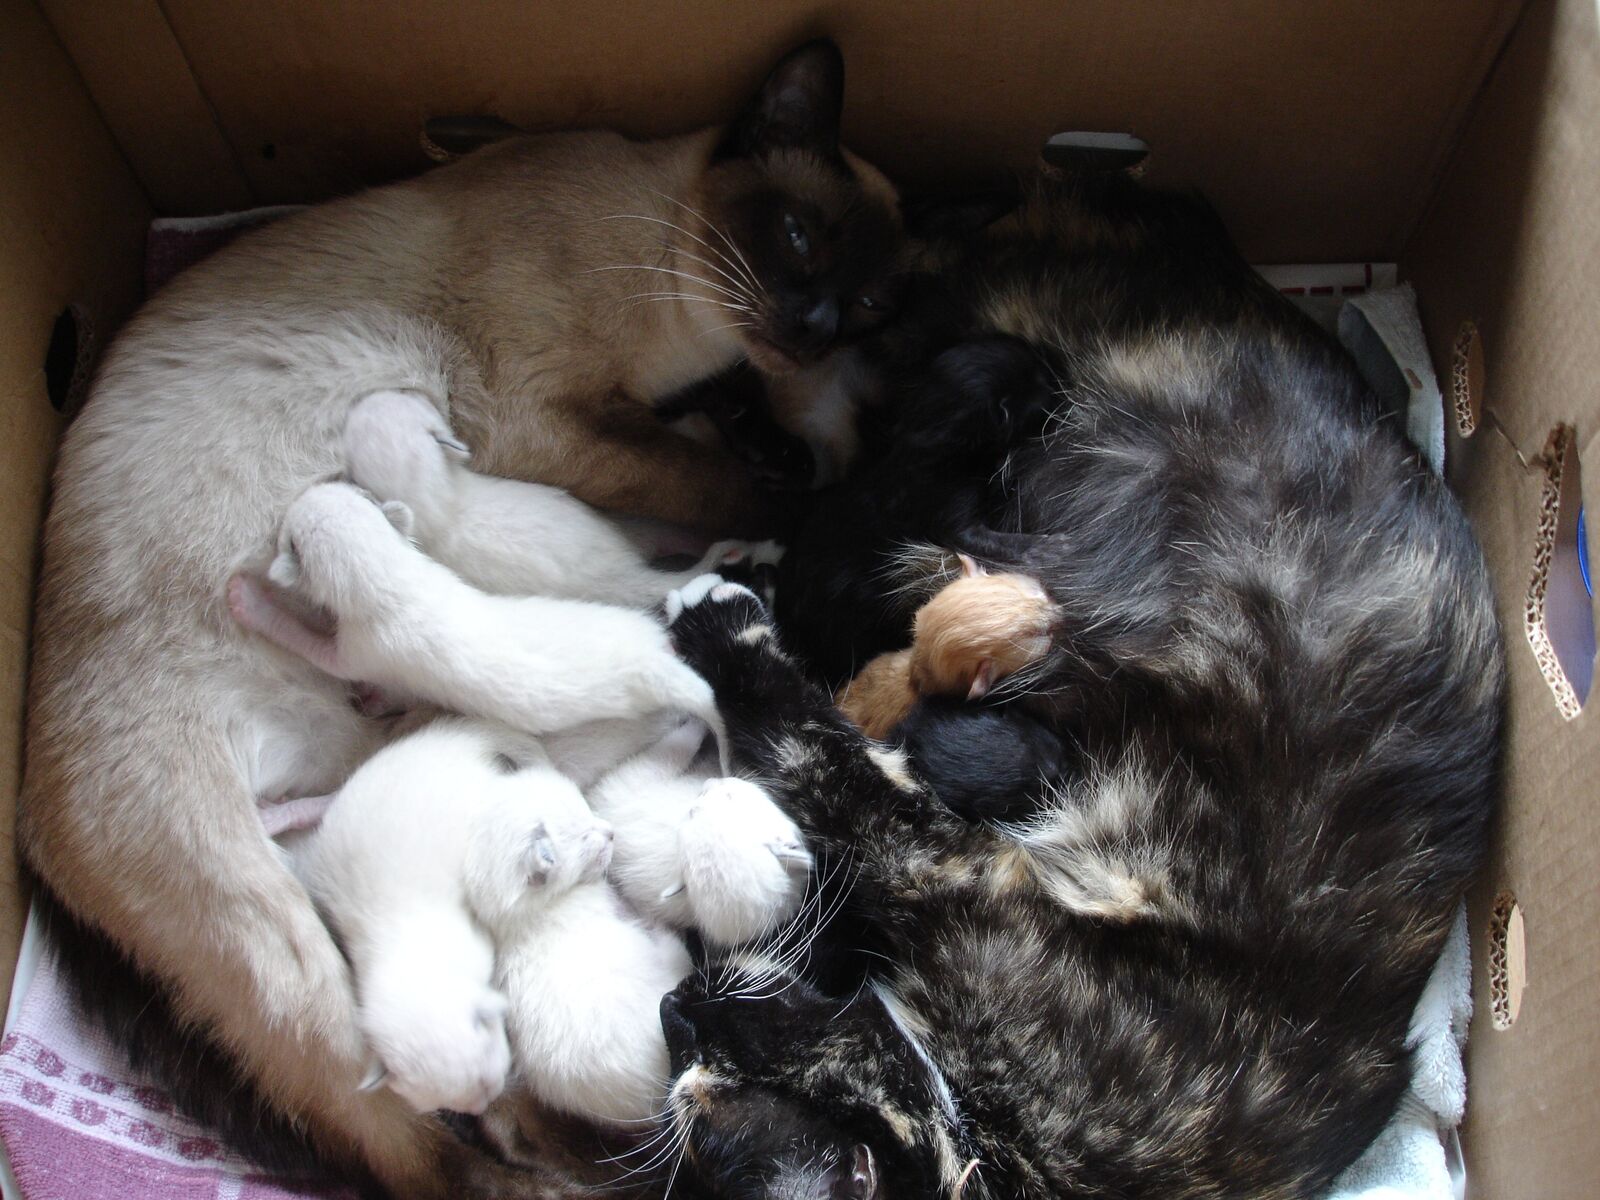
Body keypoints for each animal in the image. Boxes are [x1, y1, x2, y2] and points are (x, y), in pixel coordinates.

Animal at [645, 170, 1503, 1200]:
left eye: (716, 1100)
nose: (674, 1007)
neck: (1002, 1146)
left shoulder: (941, 866)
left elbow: (812, 752)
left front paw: (717, 619)